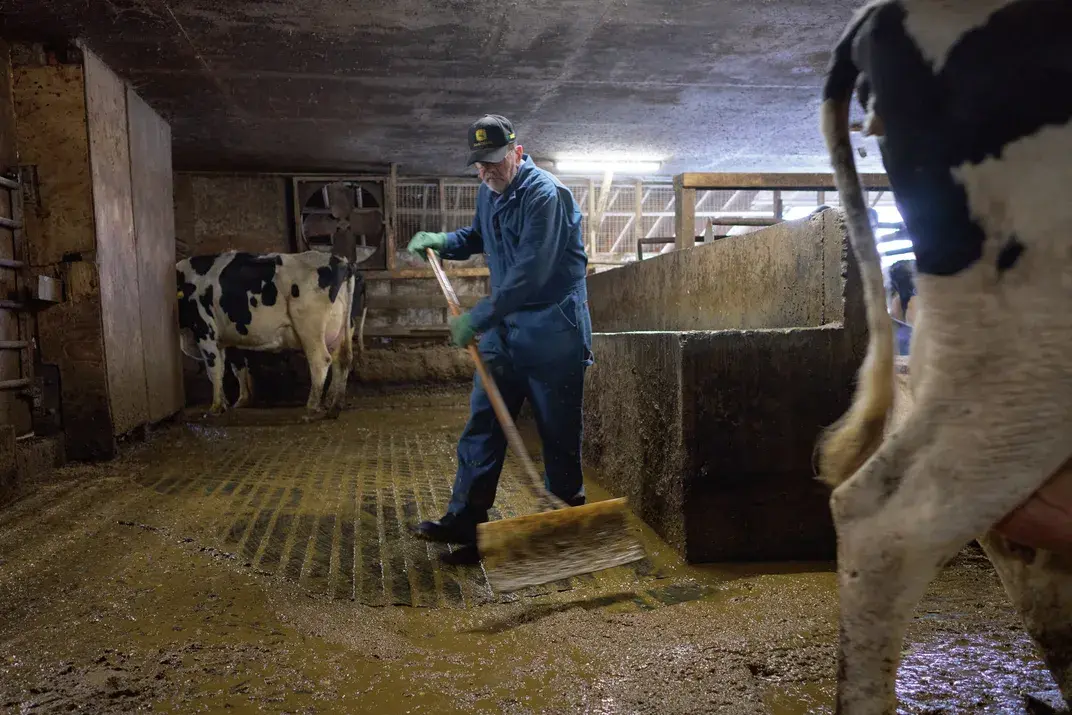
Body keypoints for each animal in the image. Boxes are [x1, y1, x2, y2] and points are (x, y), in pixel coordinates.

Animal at [176, 250, 373, 420]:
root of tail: (343, 262)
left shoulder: (204, 331)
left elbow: (215, 370)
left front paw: (216, 407)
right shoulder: (228, 338)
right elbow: (235, 367)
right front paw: (236, 401)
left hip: (310, 328)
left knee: (321, 361)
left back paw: (311, 409)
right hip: (340, 330)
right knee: (343, 360)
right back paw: (334, 408)